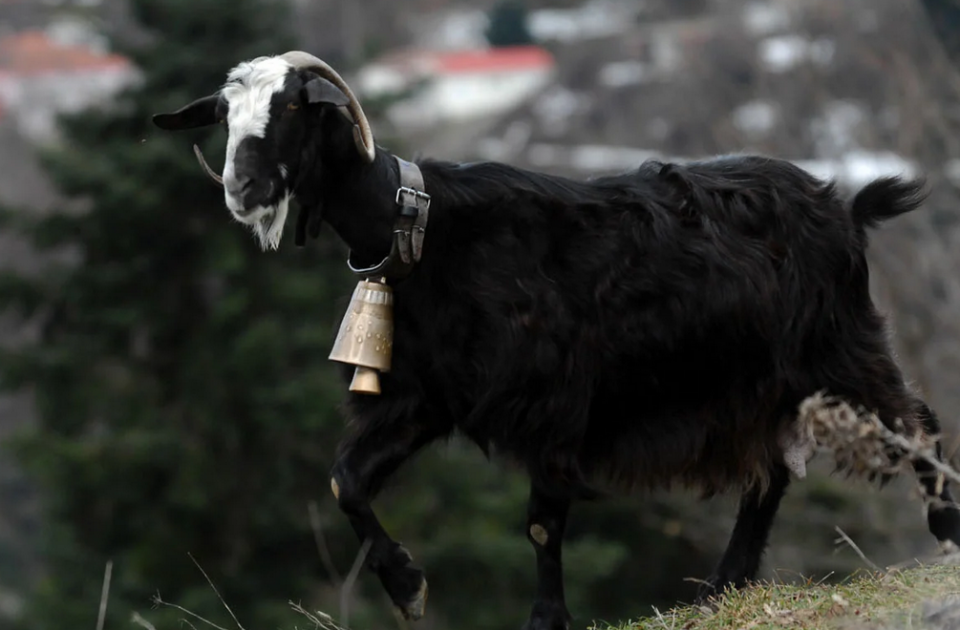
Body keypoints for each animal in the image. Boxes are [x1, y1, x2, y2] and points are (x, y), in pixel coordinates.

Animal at [152, 52, 960, 630]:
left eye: (292, 106)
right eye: (223, 116)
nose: (243, 192)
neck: (422, 228)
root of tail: (844, 207)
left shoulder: (551, 402)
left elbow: (542, 524)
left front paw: (545, 618)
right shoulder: (423, 399)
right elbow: (344, 479)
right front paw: (408, 587)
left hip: (838, 350)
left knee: (914, 421)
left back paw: (944, 524)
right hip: (760, 384)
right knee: (769, 475)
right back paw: (722, 586)